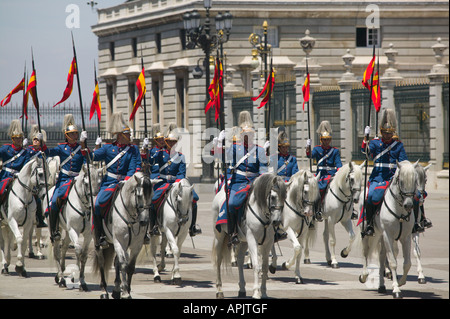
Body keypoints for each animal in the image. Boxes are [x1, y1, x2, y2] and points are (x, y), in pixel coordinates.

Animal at [358, 161, 418, 298]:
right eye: (401, 181)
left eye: (415, 181)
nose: (409, 205)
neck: (400, 211)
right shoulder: (388, 236)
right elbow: (392, 262)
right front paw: (396, 289)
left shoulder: (406, 237)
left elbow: (407, 263)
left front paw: (400, 282)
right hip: (368, 234)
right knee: (365, 253)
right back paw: (364, 275)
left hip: (381, 236)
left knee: (381, 259)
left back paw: (381, 286)